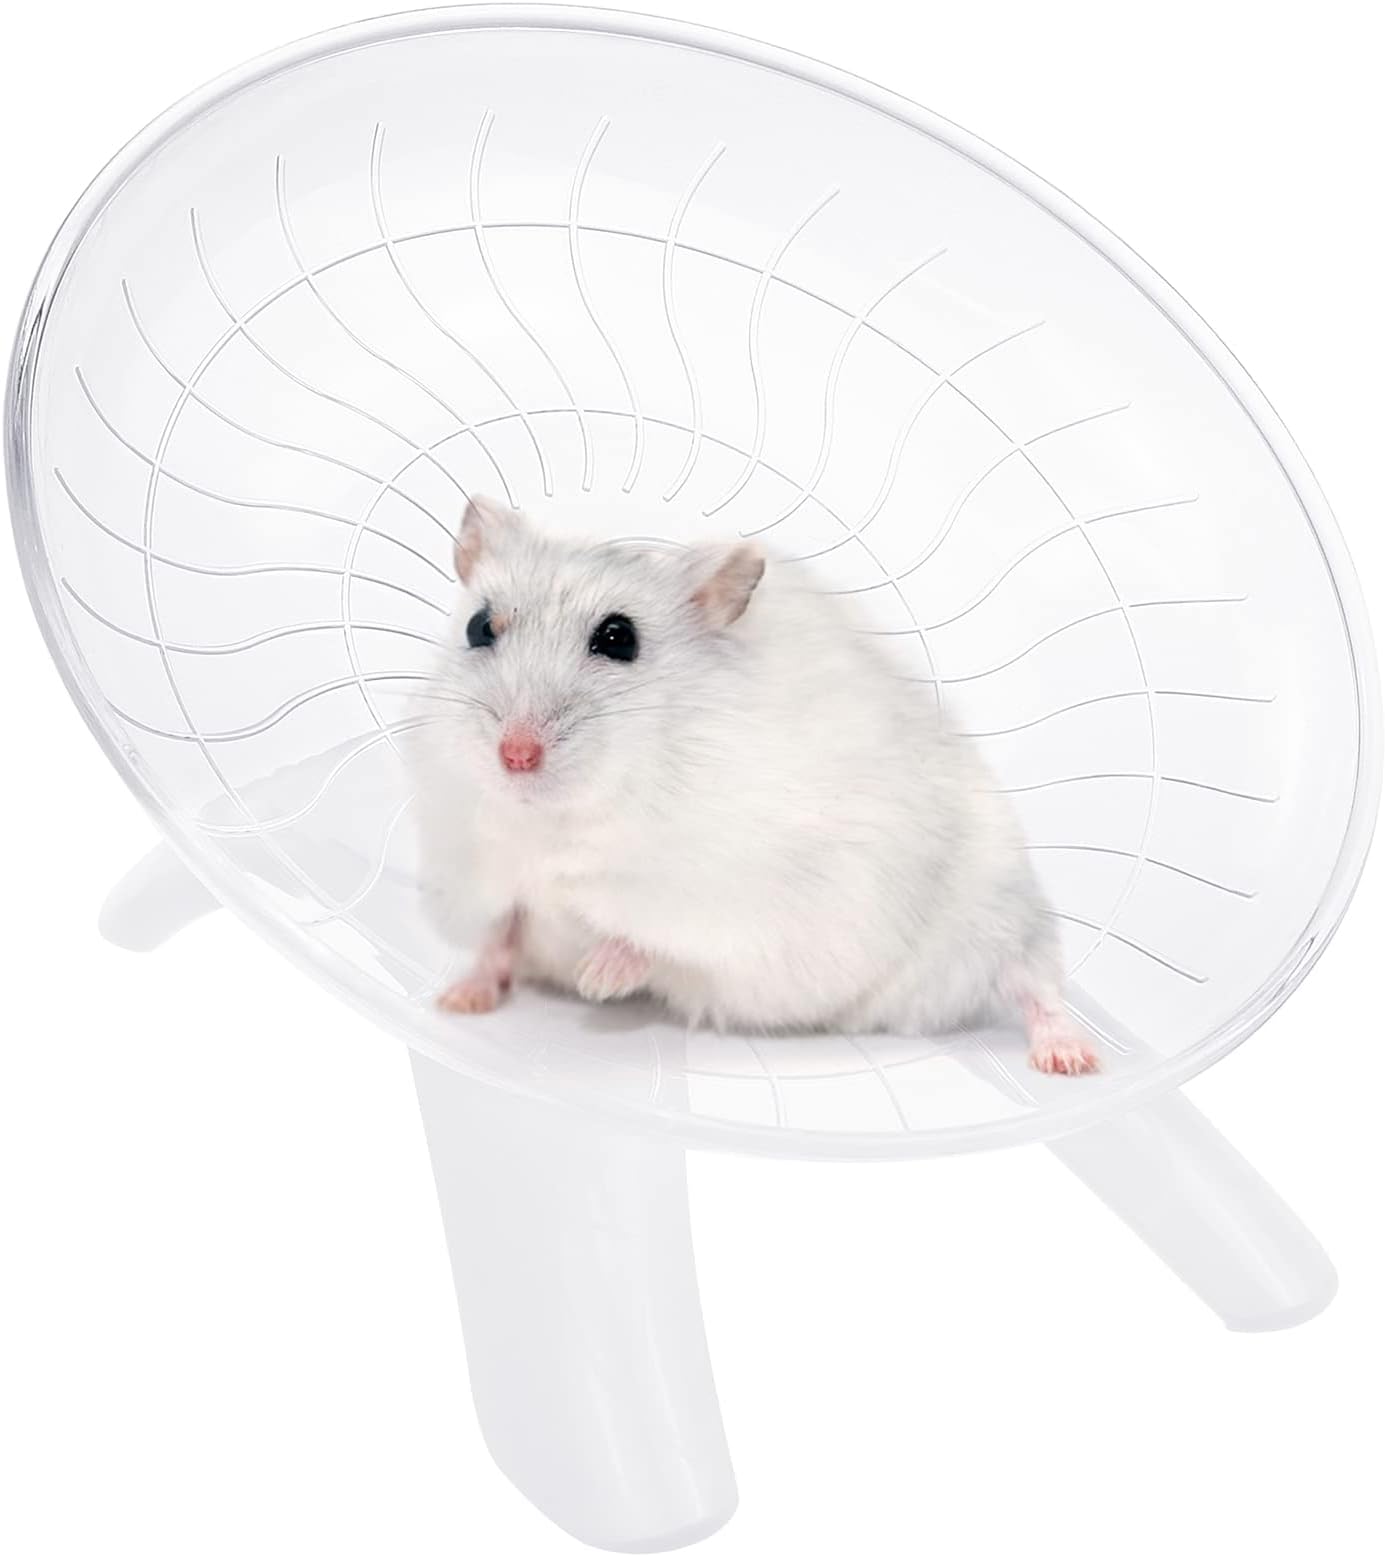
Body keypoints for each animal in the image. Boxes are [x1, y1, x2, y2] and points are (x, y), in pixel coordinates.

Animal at [409, 496, 1098, 1076]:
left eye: (618, 637)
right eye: (479, 626)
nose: (516, 756)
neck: (555, 817)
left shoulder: (734, 895)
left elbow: (656, 938)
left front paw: (597, 979)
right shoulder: (488, 875)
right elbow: (503, 933)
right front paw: (459, 998)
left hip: (1001, 909)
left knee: (1036, 983)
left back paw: (1070, 1060)